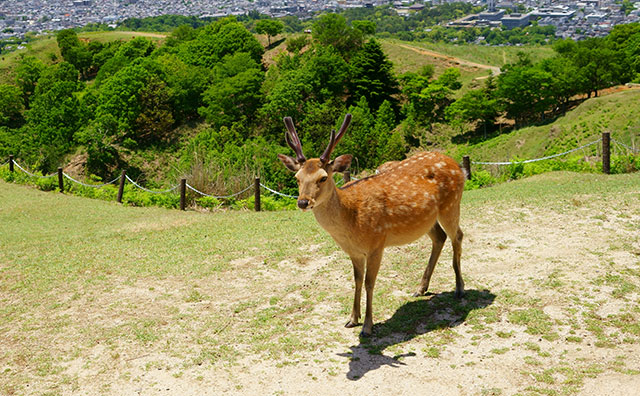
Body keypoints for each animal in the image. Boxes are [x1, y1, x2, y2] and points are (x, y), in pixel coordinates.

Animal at [276, 113, 464, 338]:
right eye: (297, 178)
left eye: (323, 177)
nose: (303, 202)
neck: (351, 221)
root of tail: (457, 164)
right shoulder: (354, 251)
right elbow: (357, 280)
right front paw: (352, 319)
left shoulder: (377, 243)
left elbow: (369, 282)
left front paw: (367, 326)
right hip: (428, 219)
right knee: (440, 237)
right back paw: (420, 289)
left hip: (451, 204)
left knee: (458, 235)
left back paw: (459, 289)